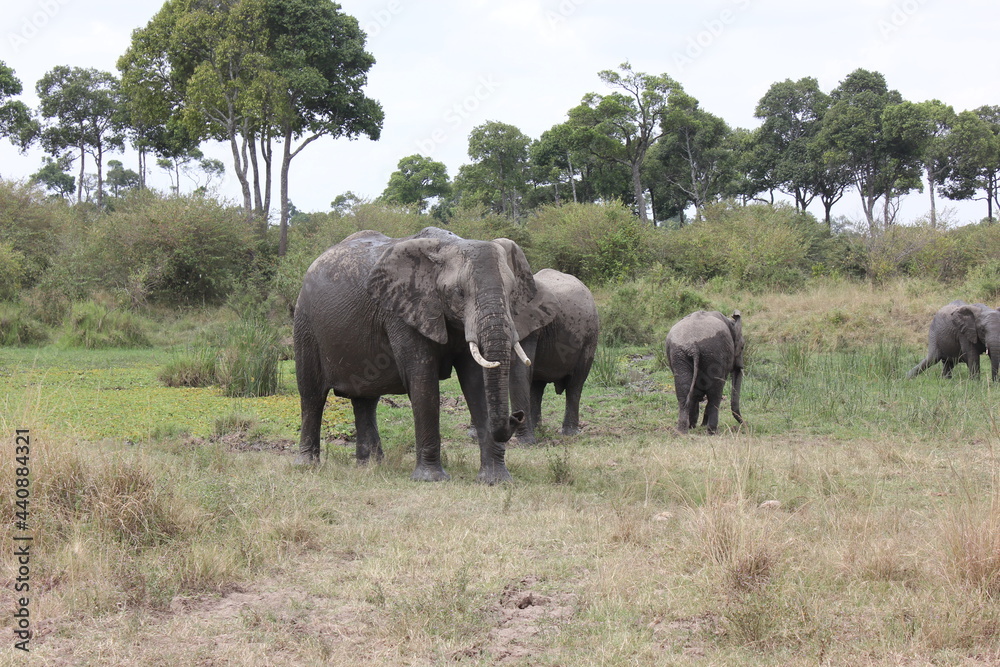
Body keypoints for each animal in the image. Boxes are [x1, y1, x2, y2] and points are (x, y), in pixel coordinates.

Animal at [292, 227, 556, 482]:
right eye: (459, 293)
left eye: (512, 294)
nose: (517, 416)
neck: (449, 245)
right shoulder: (403, 310)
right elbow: (422, 378)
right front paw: (431, 479)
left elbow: (476, 382)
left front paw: (496, 480)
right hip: (305, 323)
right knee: (312, 395)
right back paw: (307, 465)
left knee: (365, 400)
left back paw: (371, 466)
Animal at [512, 268, 596, 446]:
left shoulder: (531, 324)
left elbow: (520, 372)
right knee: (536, 388)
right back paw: (538, 430)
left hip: (590, 336)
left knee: (575, 385)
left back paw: (569, 433)